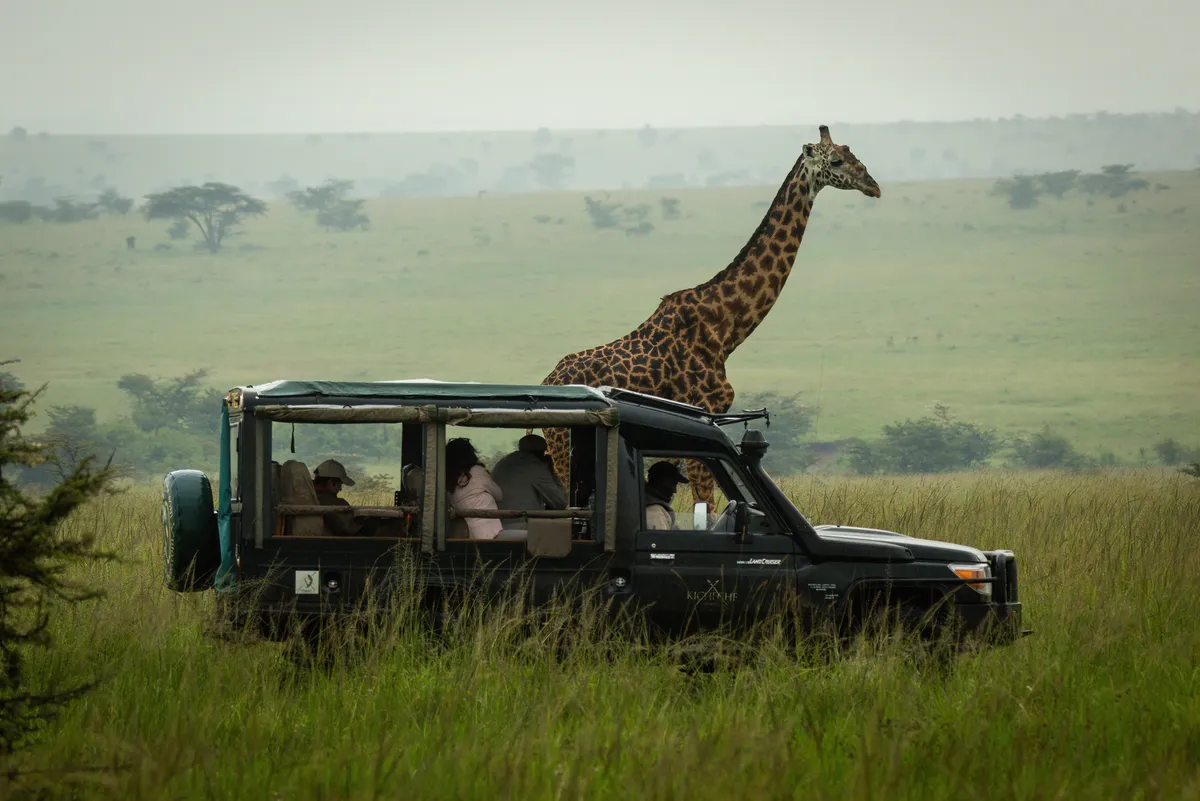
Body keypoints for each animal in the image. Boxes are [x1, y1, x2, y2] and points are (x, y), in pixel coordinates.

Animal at [539, 125, 881, 510]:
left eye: (851, 151)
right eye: (835, 160)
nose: (873, 185)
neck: (726, 327)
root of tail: (548, 379)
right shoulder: (704, 411)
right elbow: (706, 504)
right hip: (562, 444)